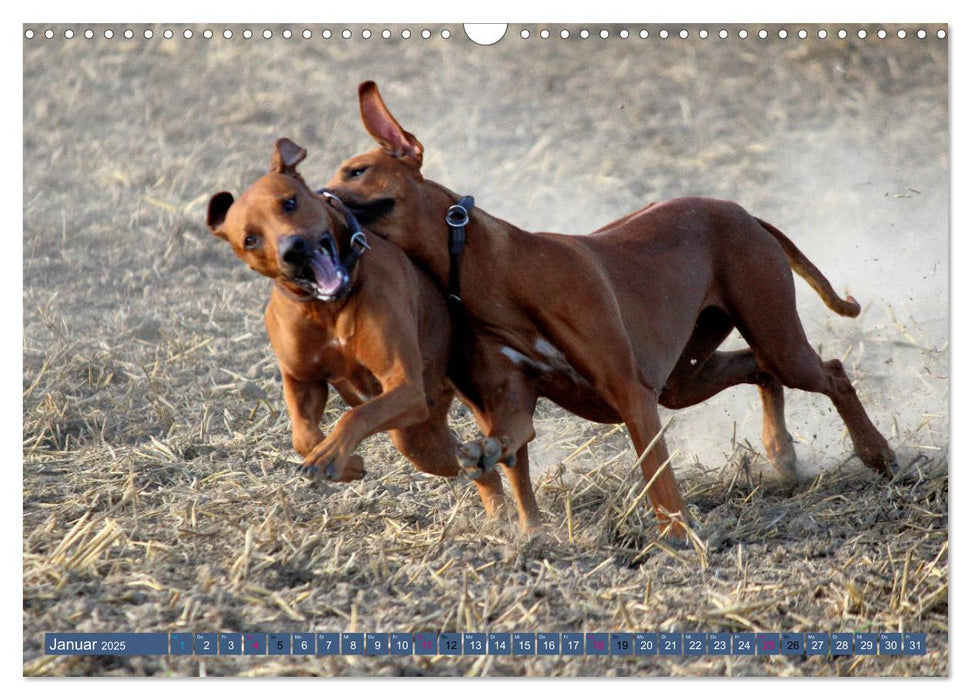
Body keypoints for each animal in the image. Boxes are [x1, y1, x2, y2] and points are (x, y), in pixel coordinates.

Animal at [324, 83, 896, 540]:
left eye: (358, 171)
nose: (320, 198)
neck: (488, 267)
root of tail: (744, 212)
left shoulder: (630, 392)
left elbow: (658, 476)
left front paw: (678, 537)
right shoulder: (508, 403)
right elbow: (512, 461)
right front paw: (529, 533)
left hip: (770, 335)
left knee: (830, 371)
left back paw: (878, 454)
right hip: (685, 378)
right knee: (760, 370)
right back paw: (780, 449)